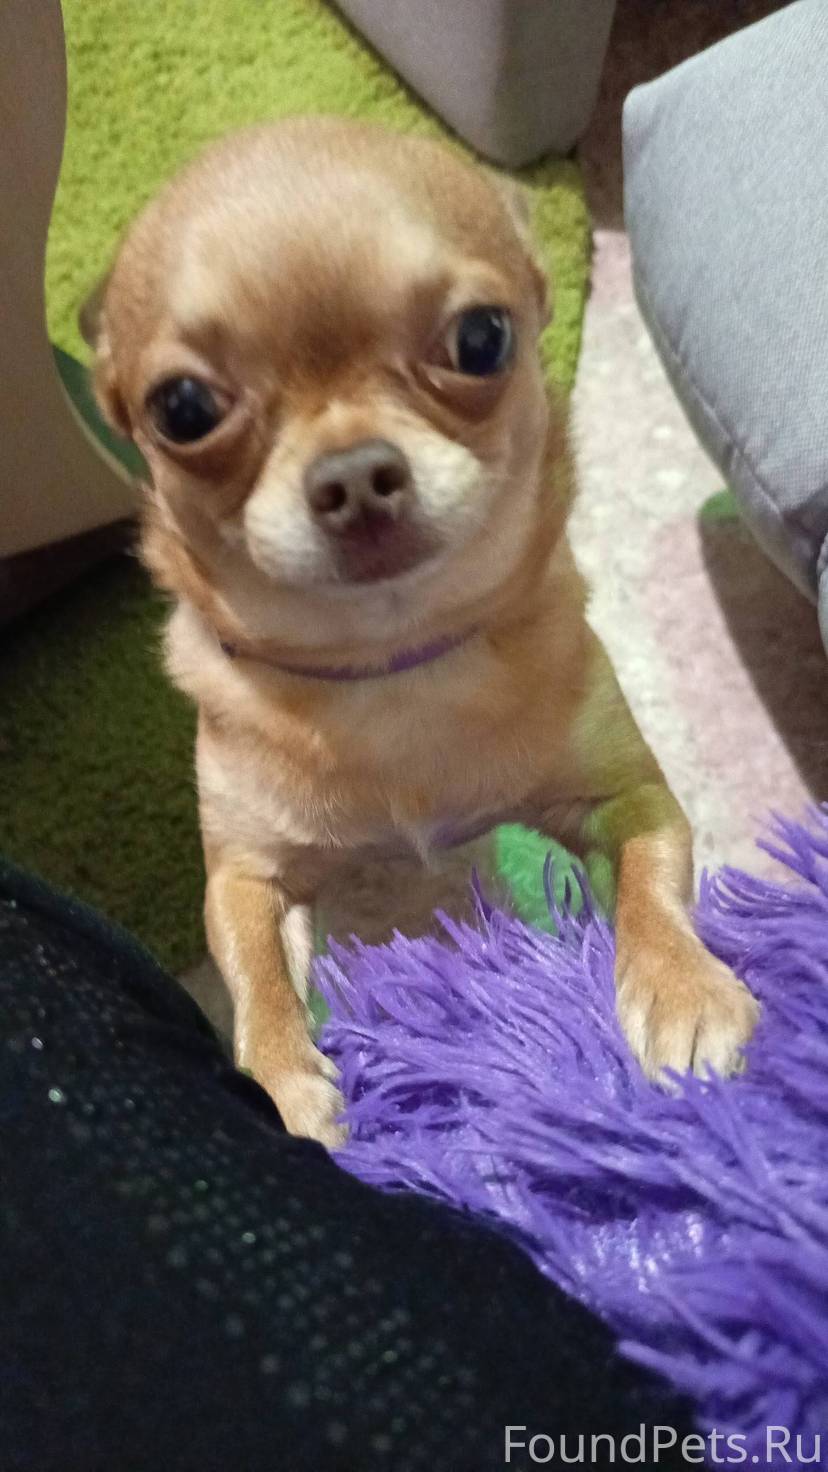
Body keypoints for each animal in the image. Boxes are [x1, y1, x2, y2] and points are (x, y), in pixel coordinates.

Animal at [89, 118, 759, 1146]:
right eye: (184, 410)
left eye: (481, 339)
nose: (354, 476)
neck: (390, 665)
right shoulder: (245, 877)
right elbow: (256, 981)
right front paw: (280, 1079)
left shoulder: (630, 796)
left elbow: (652, 886)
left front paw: (682, 991)